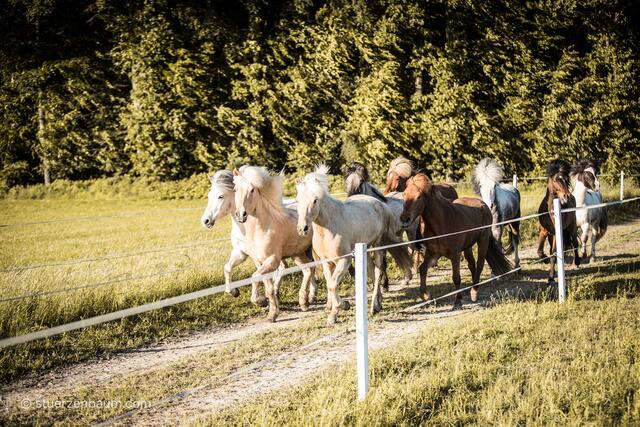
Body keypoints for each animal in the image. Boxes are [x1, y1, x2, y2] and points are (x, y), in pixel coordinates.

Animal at [233, 165, 317, 322]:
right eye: (235, 189)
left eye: (252, 190)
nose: (241, 215)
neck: (262, 229)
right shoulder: (260, 263)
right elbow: (269, 288)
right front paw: (272, 313)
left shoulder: (272, 261)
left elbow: (254, 277)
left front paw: (260, 302)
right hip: (298, 253)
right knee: (308, 270)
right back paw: (304, 302)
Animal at [296, 164, 413, 325]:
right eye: (297, 200)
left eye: (314, 200)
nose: (303, 228)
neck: (329, 229)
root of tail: (382, 205)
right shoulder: (326, 262)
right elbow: (330, 284)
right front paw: (333, 313)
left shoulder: (344, 260)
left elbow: (332, 285)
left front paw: (343, 306)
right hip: (365, 248)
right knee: (371, 270)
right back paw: (379, 302)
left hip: (378, 246)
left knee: (378, 271)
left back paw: (374, 307)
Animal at [400, 172, 513, 308]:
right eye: (404, 194)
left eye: (418, 196)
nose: (404, 219)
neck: (442, 221)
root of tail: (483, 204)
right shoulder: (432, 253)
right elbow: (422, 269)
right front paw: (425, 295)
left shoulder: (455, 255)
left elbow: (456, 277)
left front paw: (458, 301)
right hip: (467, 247)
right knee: (472, 264)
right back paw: (471, 288)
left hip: (483, 240)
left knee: (479, 263)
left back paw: (474, 292)